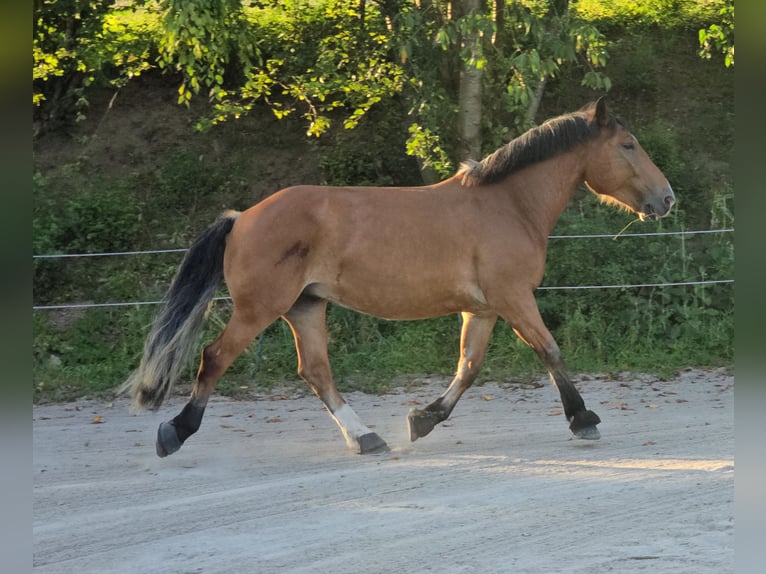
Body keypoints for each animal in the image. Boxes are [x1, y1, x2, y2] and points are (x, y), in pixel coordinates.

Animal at [120, 98, 672, 460]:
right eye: (629, 145)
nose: (667, 198)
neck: (508, 205)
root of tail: (242, 217)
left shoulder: (484, 308)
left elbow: (468, 369)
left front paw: (422, 420)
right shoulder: (514, 299)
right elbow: (550, 351)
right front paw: (584, 419)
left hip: (306, 307)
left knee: (316, 372)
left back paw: (366, 438)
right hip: (261, 309)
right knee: (215, 358)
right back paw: (176, 432)